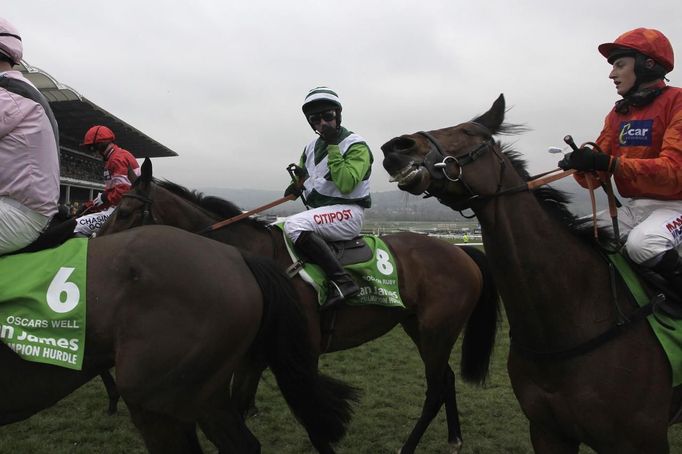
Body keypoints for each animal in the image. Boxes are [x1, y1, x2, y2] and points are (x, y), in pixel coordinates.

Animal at [97, 160, 500, 454]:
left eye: (126, 212)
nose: (96, 253)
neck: (256, 259)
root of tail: (461, 251)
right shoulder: (254, 357)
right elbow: (240, 408)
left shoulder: (300, 353)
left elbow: (313, 421)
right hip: (419, 327)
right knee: (446, 379)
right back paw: (454, 437)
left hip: (437, 330)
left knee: (434, 389)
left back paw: (409, 447)